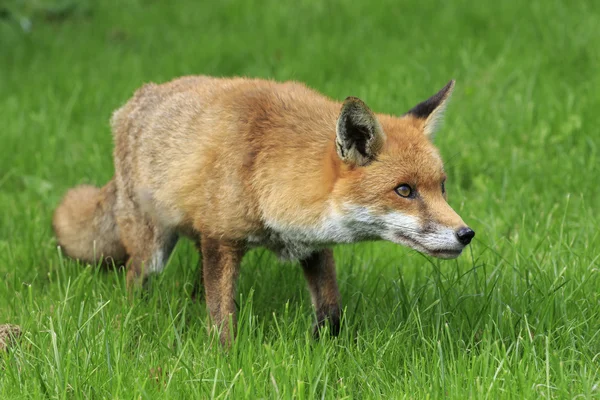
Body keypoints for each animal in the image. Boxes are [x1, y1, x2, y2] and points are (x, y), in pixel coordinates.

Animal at [52, 76, 474, 346]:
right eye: (404, 190)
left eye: (442, 187)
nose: (466, 234)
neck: (264, 171)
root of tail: (133, 103)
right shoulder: (222, 239)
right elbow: (222, 319)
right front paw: (223, 360)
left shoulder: (312, 243)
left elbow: (331, 311)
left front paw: (326, 352)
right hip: (154, 248)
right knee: (135, 279)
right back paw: (135, 319)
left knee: (195, 283)